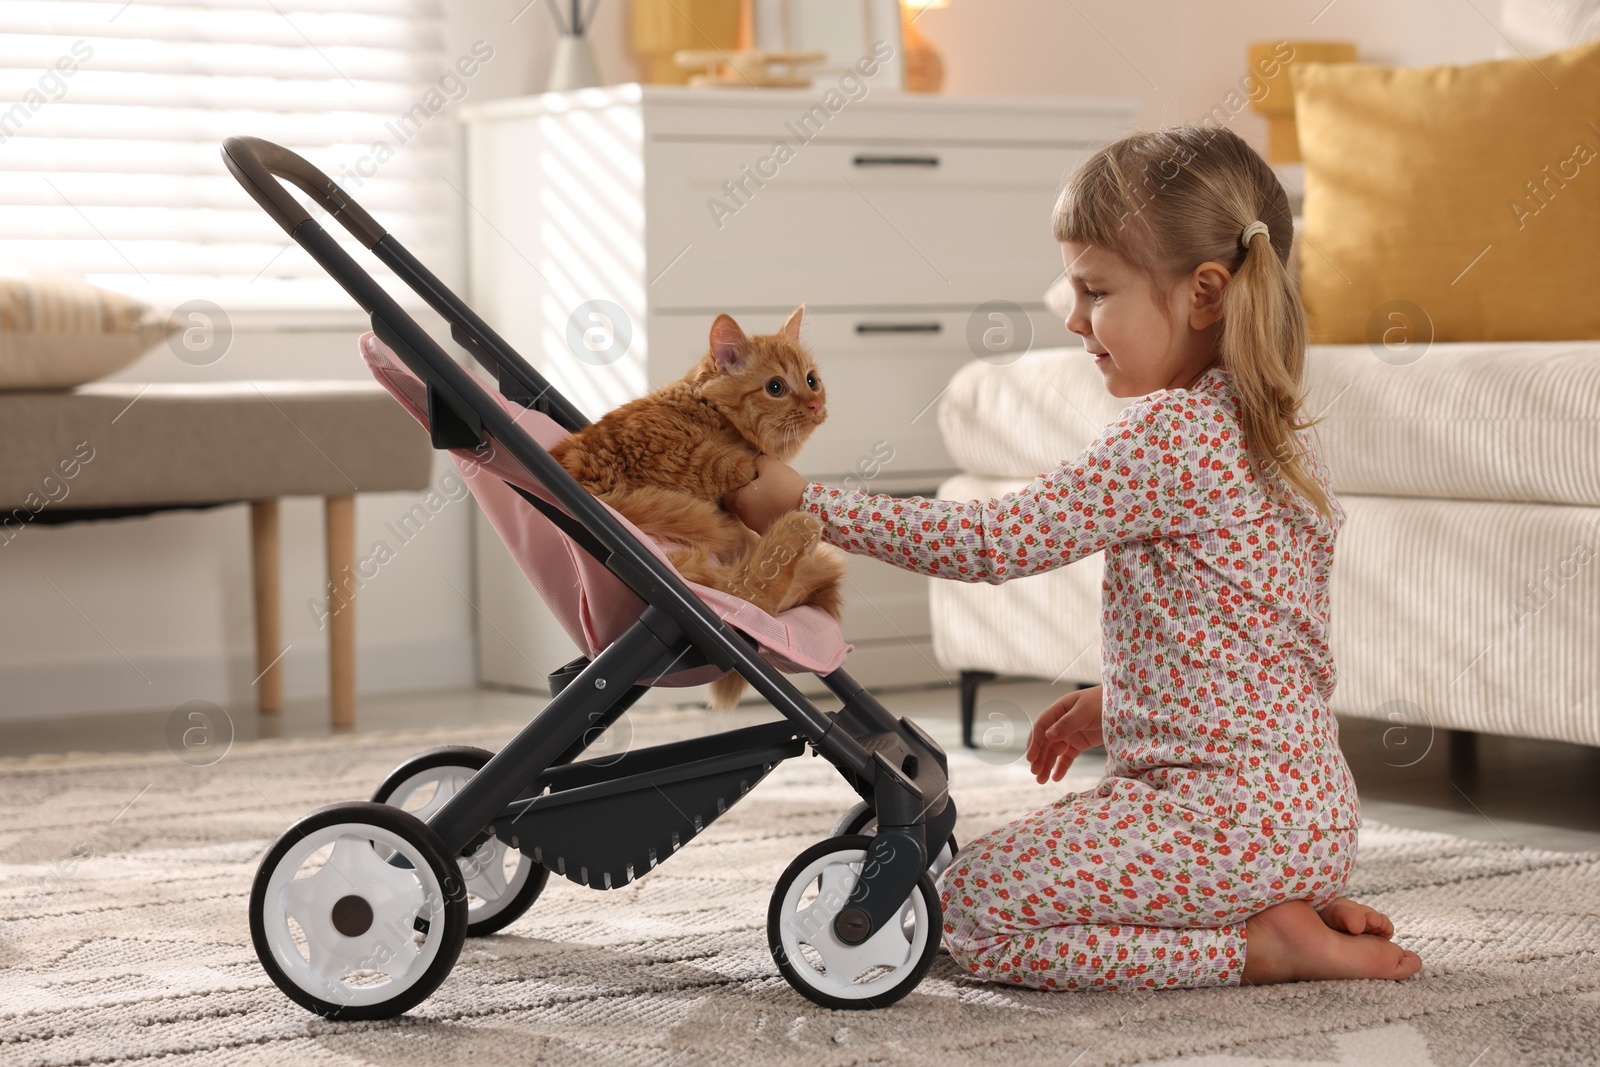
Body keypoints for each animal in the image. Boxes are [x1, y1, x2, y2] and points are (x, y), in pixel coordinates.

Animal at [550, 307, 851, 710]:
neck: (707, 409)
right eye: (775, 387)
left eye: (811, 380)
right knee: (757, 595)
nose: (815, 405)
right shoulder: (720, 466)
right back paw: (799, 529)